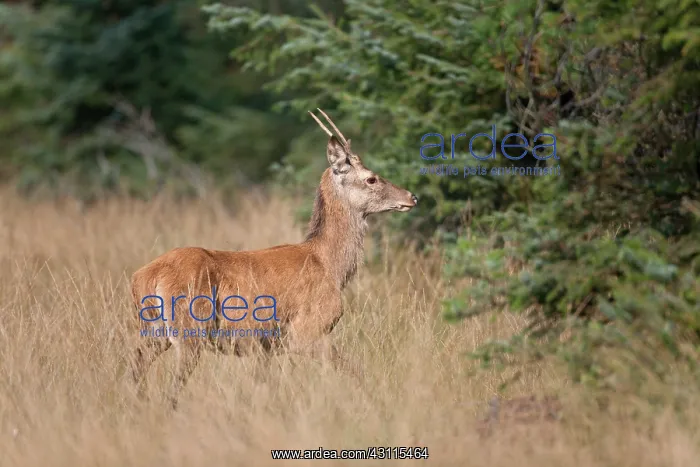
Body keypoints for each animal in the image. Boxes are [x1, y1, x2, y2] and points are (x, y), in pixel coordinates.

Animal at [130, 109, 418, 408]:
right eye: (371, 178)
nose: (412, 196)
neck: (330, 266)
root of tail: (144, 276)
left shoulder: (266, 346)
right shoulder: (306, 330)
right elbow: (355, 369)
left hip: (152, 329)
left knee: (135, 368)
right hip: (189, 329)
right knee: (171, 387)